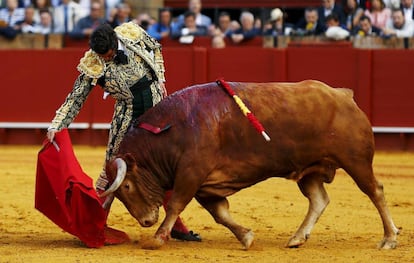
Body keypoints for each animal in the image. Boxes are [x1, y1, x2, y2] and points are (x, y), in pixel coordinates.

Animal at [99, 80, 398, 250]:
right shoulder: (206, 185)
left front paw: (158, 238)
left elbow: (175, 204)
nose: (146, 221)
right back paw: (297, 238)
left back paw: (389, 239)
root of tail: (343, 95)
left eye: (127, 186)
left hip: (356, 161)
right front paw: (246, 237)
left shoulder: (191, 173)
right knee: (319, 199)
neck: (174, 129)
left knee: (375, 191)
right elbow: (221, 214)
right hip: (310, 169)